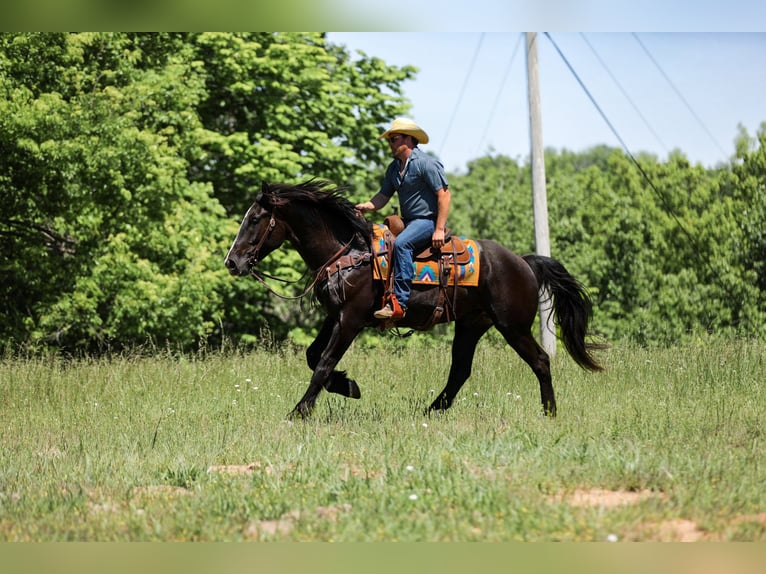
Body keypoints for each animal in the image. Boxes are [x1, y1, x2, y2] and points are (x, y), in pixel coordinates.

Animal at [225, 180, 603, 419]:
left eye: (255, 219)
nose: (232, 262)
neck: (349, 252)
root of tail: (523, 262)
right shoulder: (335, 316)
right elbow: (313, 356)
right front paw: (349, 386)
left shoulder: (351, 320)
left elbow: (323, 364)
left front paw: (300, 411)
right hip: (471, 325)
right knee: (460, 370)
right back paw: (431, 411)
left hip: (513, 326)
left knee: (540, 361)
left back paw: (549, 412)